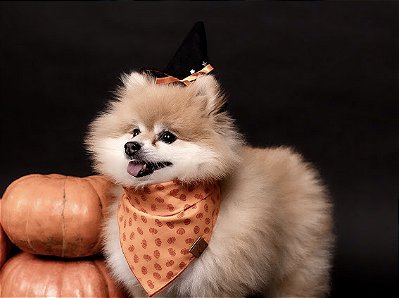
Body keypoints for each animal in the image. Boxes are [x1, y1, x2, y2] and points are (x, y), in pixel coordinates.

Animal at [86, 73, 334, 298]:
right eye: (135, 131)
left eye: (167, 136)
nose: (131, 146)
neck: (160, 206)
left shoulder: (217, 280)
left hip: (297, 268)